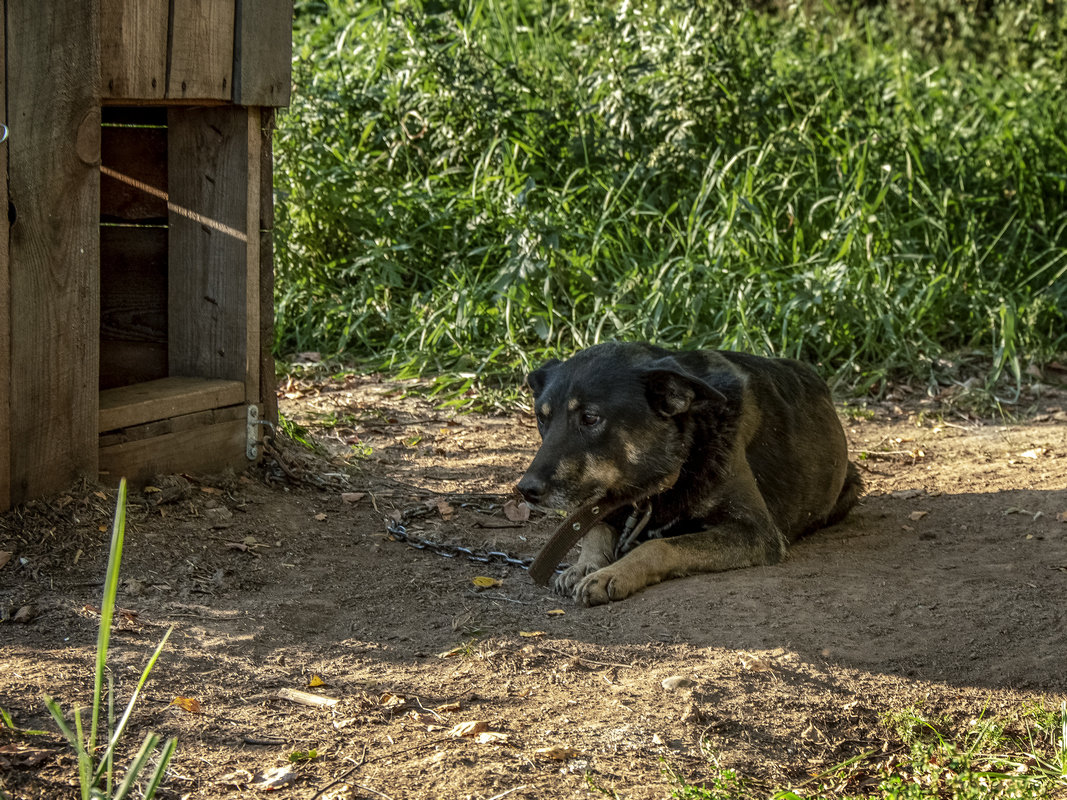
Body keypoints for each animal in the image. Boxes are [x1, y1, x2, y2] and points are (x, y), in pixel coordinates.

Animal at [514, 339, 857, 605]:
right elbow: (593, 529)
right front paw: (585, 566)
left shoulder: (755, 531)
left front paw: (611, 573)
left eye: (590, 418)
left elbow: (659, 545)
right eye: (542, 418)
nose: (525, 490)